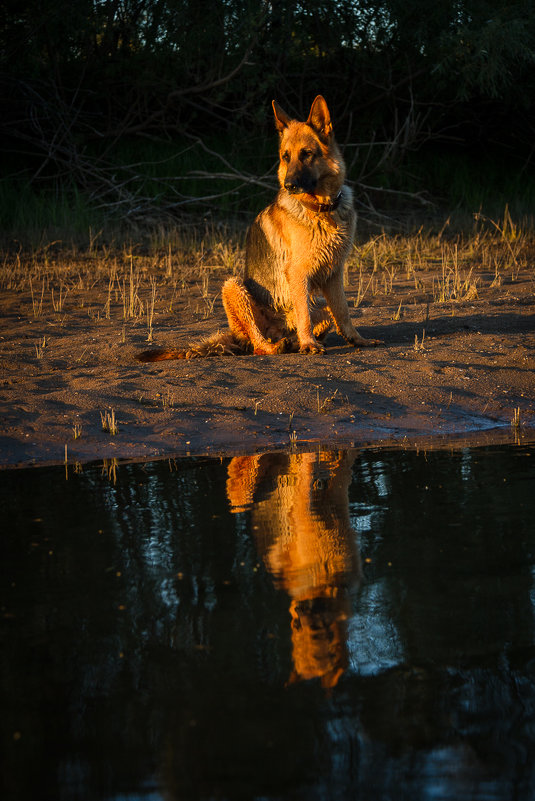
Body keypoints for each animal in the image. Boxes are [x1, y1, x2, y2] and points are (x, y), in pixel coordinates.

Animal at [138, 92, 382, 360]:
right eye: (286, 156)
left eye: (307, 154)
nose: (289, 185)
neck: (322, 210)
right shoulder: (298, 273)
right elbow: (305, 317)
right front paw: (309, 344)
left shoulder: (334, 273)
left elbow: (343, 311)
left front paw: (357, 339)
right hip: (234, 286)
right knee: (259, 343)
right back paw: (281, 346)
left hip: (315, 310)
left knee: (316, 320)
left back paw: (293, 342)